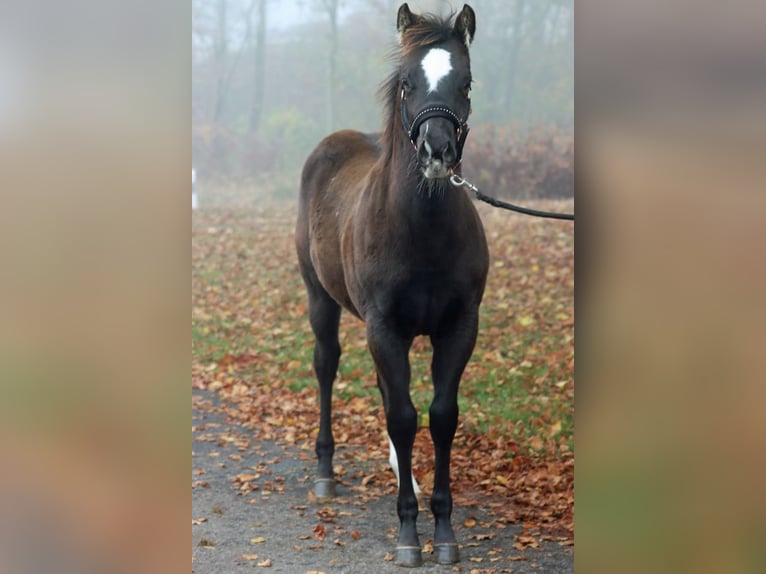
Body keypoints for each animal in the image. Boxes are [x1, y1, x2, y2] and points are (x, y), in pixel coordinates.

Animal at [296, 3, 488, 572]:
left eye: (466, 82)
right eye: (408, 82)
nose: (436, 152)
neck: (420, 229)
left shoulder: (457, 328)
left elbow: (441, 417)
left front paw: (443, 528)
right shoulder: (384, 327)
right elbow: (403, 417)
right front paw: (408, 533)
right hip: (321, 300)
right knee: (327, 366)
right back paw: (326, 473)